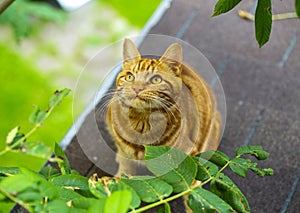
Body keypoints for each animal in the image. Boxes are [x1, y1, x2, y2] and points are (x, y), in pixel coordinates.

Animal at [105, 38, 220, 176]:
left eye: (156, 80)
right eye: (129, 77)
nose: (137, 88)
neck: (141, 122)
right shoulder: (124, 153)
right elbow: (124, 168)